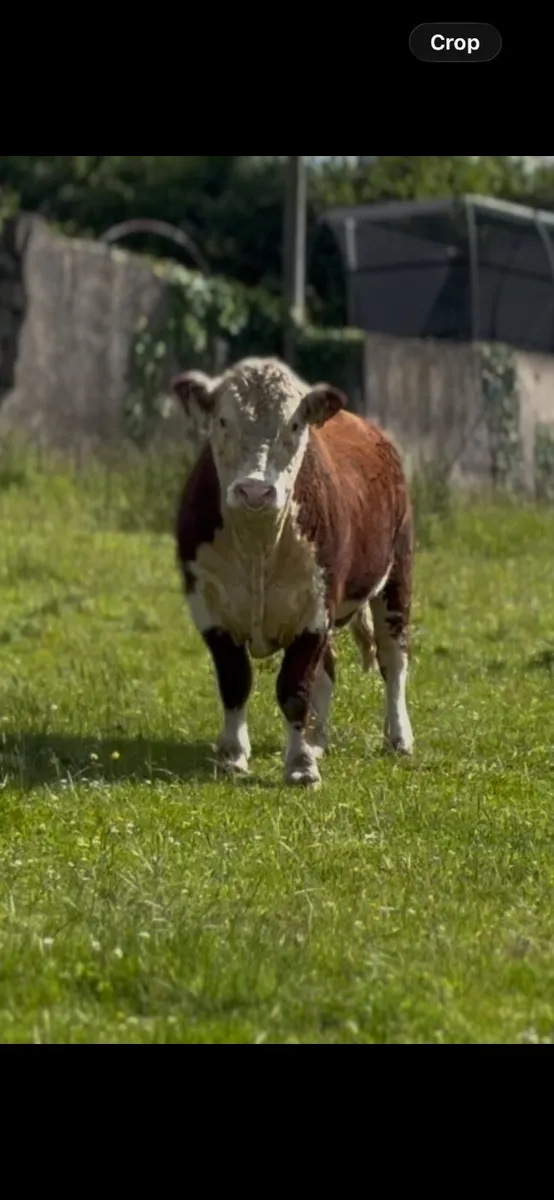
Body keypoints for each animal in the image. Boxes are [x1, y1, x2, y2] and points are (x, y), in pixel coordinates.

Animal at [173, 356, 414, 787]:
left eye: (295, 424)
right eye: (223, 420)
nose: (255, 491)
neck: (258, 543)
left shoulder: (315, 611)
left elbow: (294, 689)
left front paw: (300, 766)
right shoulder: (209, 608)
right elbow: (235, 682)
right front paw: (233, 756)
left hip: (396, 579)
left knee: (394, 661)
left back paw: (399, 738)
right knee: (329, 670)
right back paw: (318, 739)